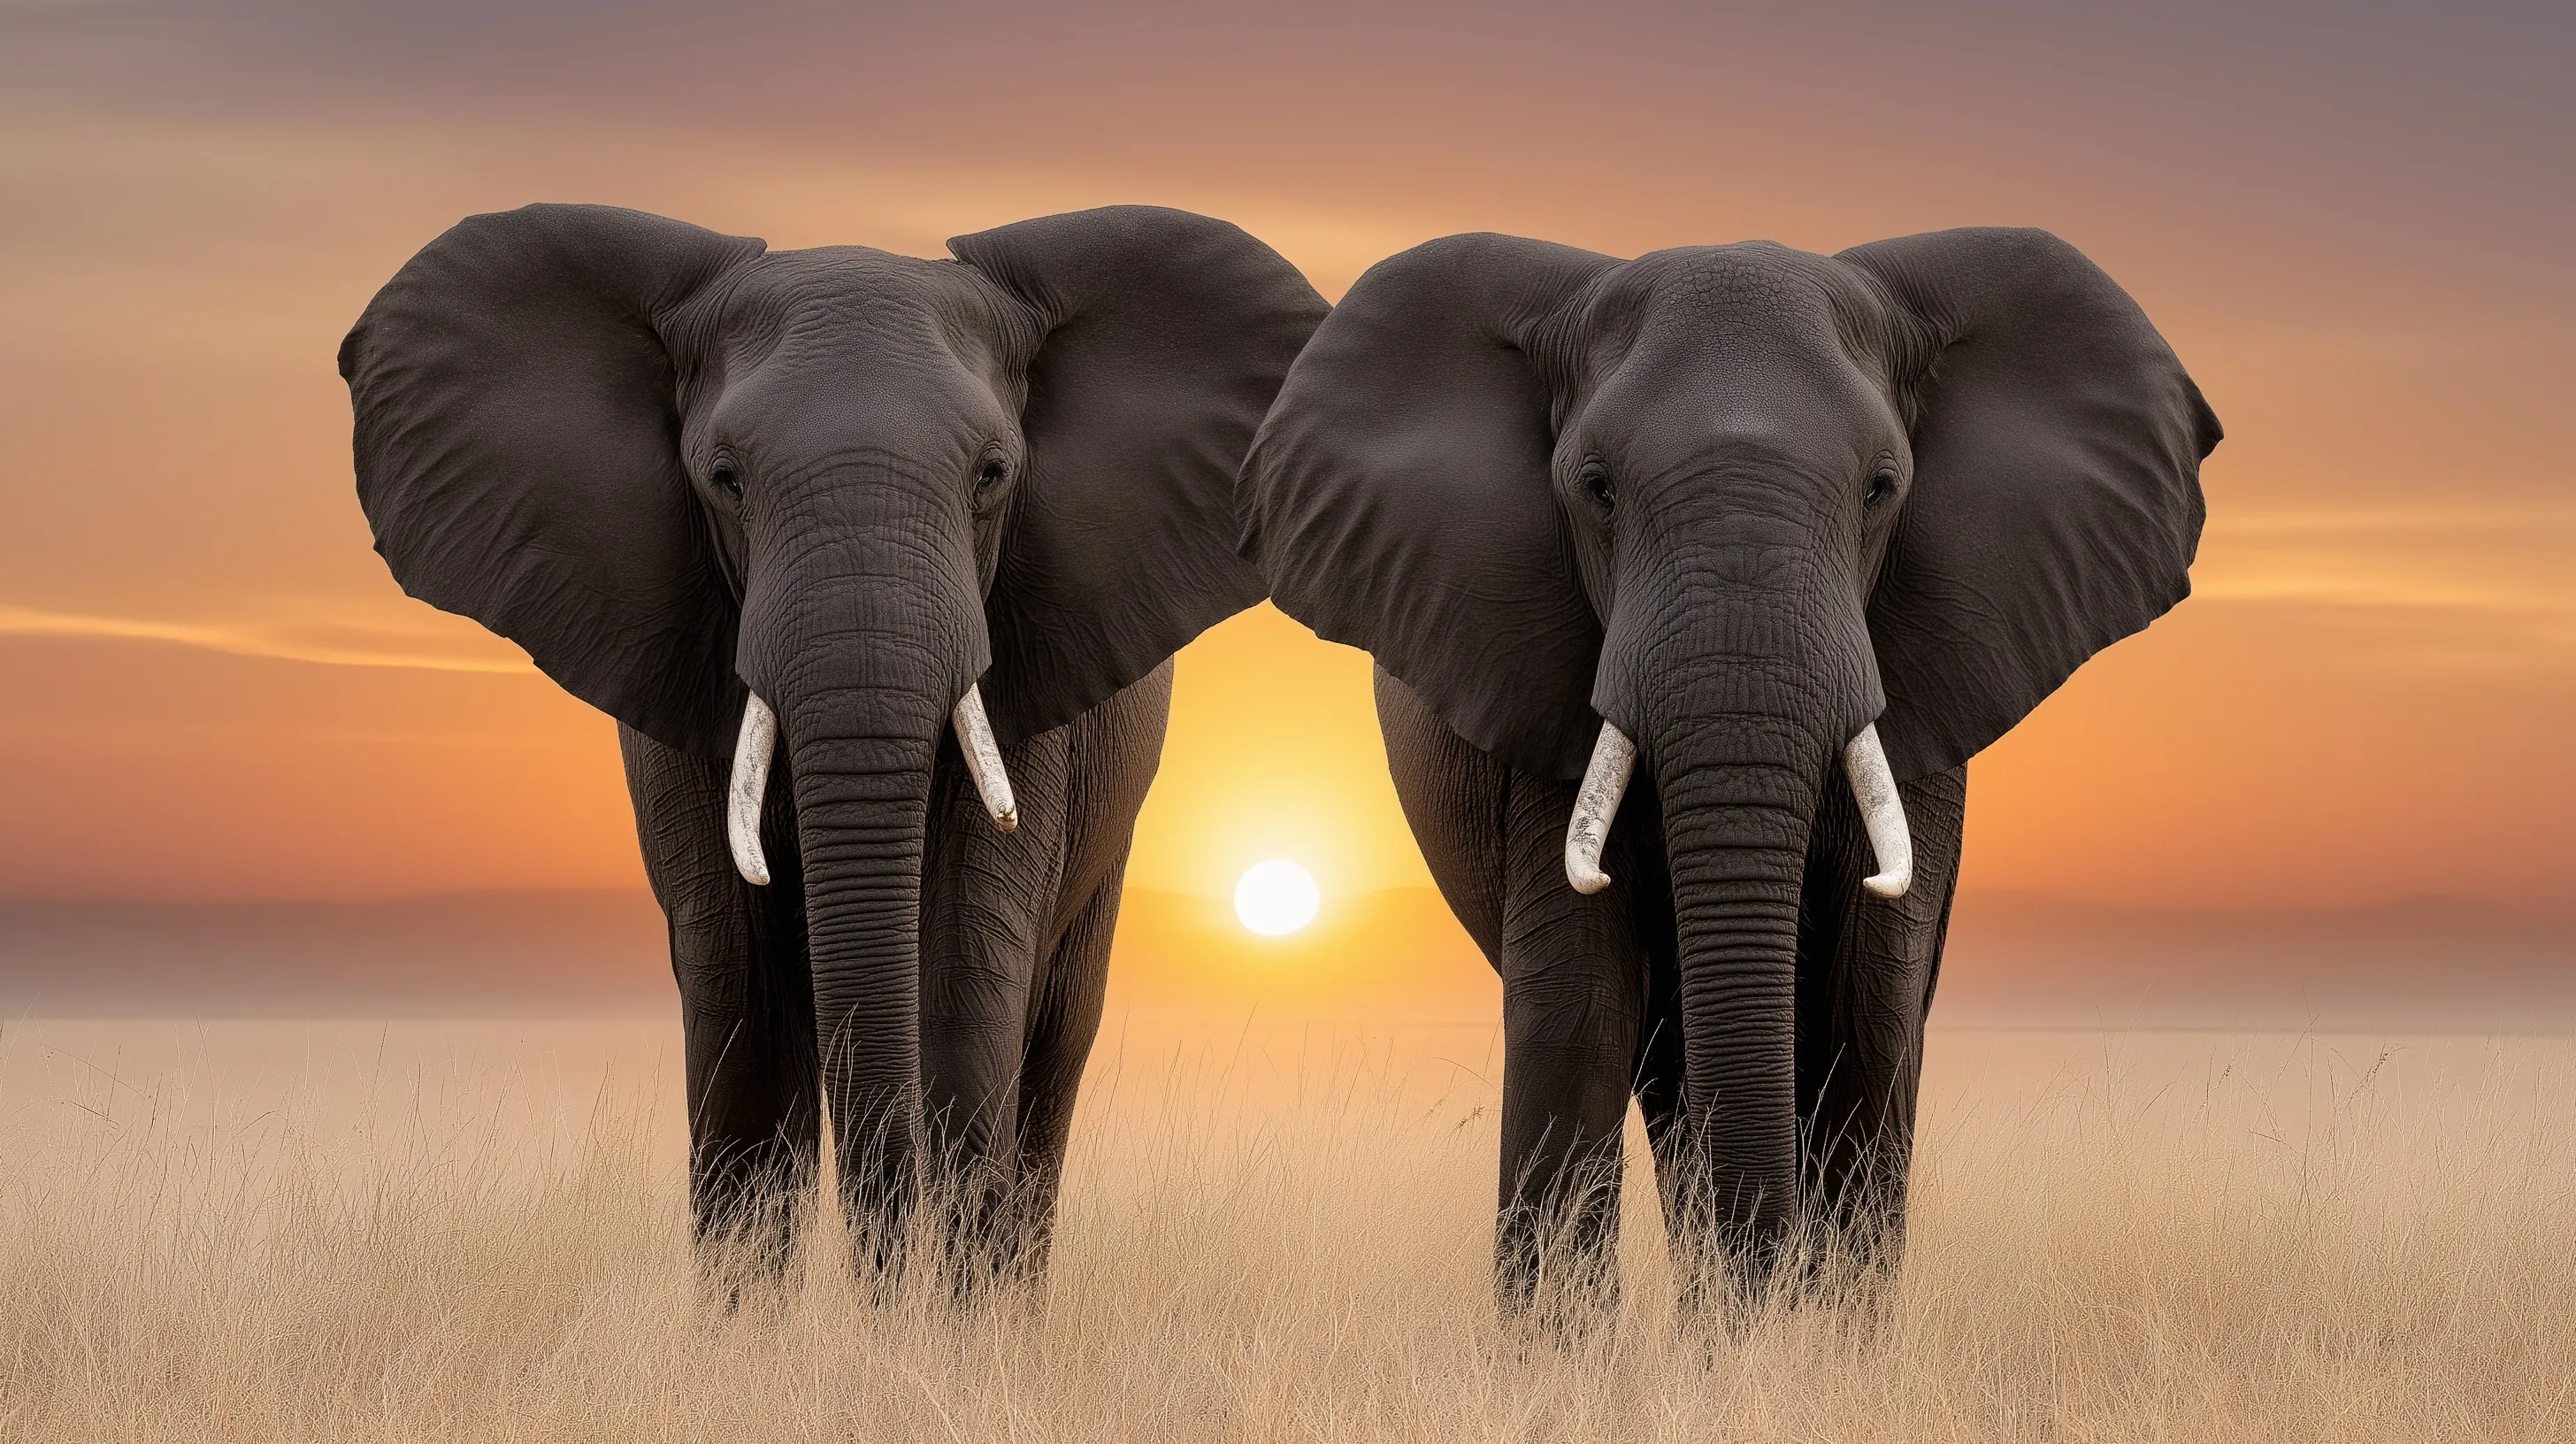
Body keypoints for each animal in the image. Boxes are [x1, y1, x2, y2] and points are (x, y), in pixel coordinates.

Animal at [341, 202, 1326, 1272]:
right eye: (724, 478)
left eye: (992, 476)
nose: (878, 1293)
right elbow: (742, 1010)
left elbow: (960, 996)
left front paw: (938, 1315)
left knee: (1050, 1054)